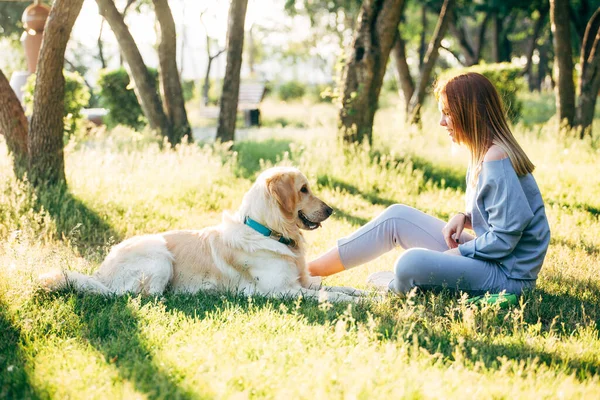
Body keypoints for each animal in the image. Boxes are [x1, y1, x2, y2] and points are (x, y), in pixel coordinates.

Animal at [39, 167, 366, 302]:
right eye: (304, 189)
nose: (331, 210)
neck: (268, 231)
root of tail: (100, 273)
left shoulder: (303, 281)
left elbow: (341, 287)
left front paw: (367, 294)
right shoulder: (281, 290)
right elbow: (331, 295)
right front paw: (361, 303)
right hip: (159, 255)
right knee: (139, 296)